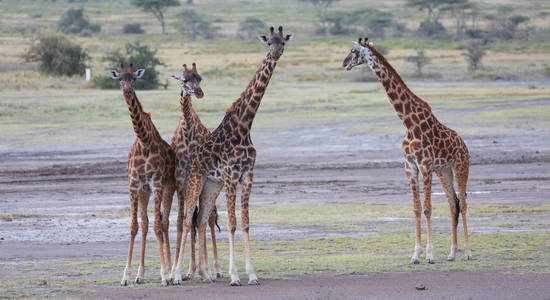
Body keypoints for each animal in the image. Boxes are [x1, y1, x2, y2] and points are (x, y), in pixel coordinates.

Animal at [109, 63, 176, 286]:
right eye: (120, 79)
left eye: (135, 79)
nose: (128, 91)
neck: (144, 140)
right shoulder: (134, 184)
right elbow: (134, 226)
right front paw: (126, 276)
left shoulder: (156, 183)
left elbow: (158, 226)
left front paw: (164, 275)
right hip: (144, 192)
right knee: (146, 223)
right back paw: (140, 275)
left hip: (168, 188)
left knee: (164, 222)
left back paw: (171, 272)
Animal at [171, 25, 294, 286]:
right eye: (268, 42)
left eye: (283, 42)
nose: (276, 53)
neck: (244, 126)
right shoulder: (230, 176)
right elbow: (232, 224)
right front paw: (235, 276)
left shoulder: (247, 176)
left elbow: (245, 223)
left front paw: (253, 275)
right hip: (195, 181)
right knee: (186, 220)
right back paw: (176, 275)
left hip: (210, 185)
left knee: (200, 219)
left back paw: (203, 274)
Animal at [342, 38, 472, 264]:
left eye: (353, 51)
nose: (344, 63)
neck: (409, 124)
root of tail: (464, 144)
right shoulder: (410, 167)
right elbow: (416, 209)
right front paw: (415, 255)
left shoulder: (425, 165)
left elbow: (427, 208)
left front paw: (429, 255)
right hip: (444, 171)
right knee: (453, 203)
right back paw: (451, 253)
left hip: (460, 167)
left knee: (463, 204)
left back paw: (467, 252)